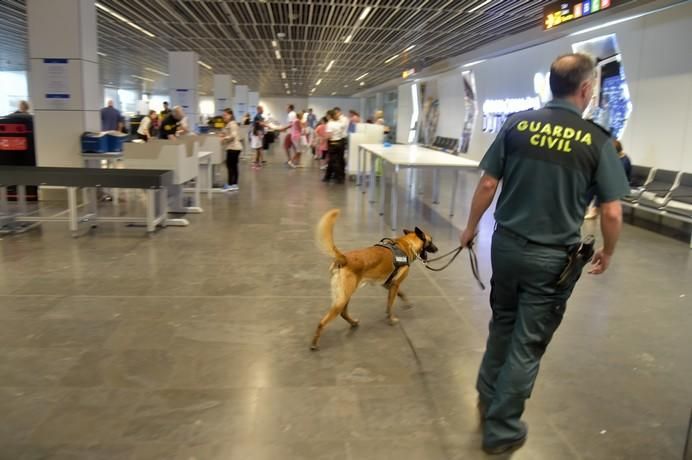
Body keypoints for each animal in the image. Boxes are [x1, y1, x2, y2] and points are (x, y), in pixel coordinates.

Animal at [310, 210, 436, 350]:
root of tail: (344, 258)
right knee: (323, 322)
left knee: (343, 313)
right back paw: (314, 343)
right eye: (431, 241)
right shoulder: (395, 284)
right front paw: (391, 319)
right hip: (343, 298)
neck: (407, 244)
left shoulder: (389, 284)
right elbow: (390, 304)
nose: (437, 249)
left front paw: (405, 303)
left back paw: (353, 323)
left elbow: (399, 296)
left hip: (345, 296)